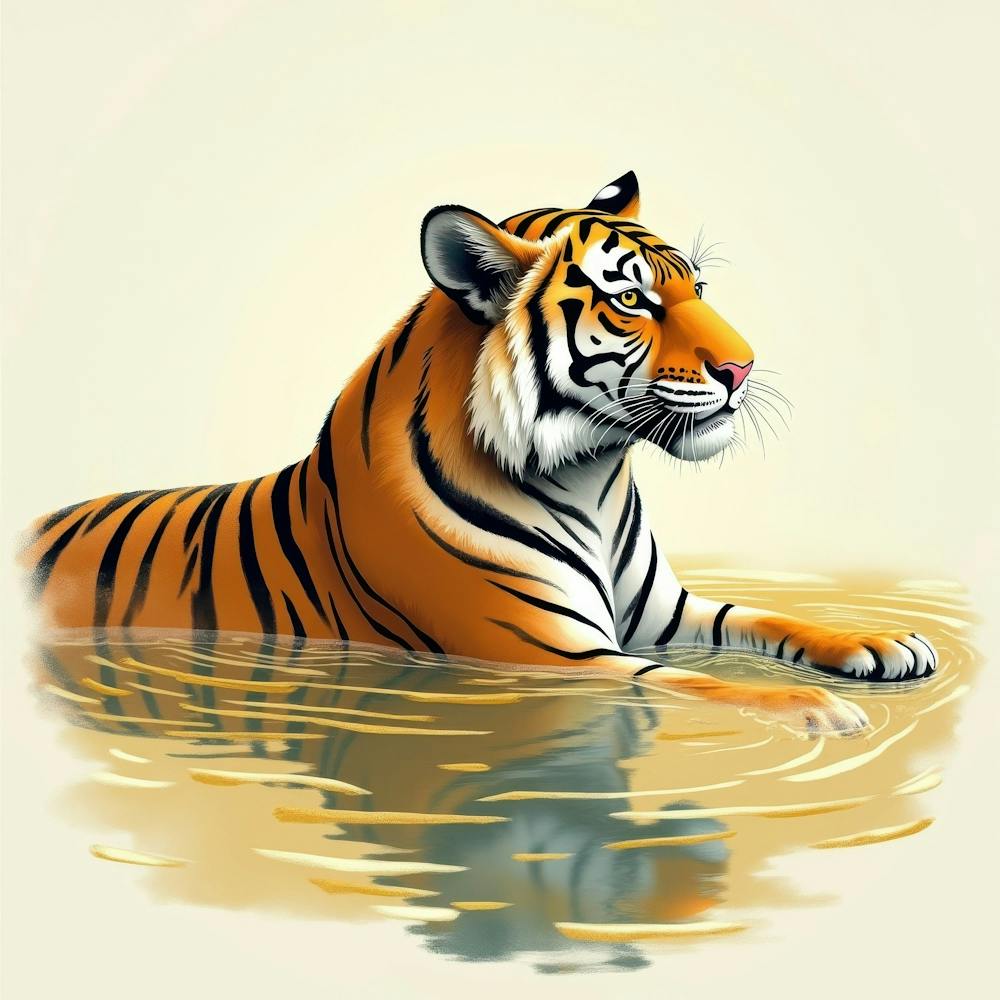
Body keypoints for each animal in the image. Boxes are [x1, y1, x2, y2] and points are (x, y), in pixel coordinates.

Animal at [21, 171, 938, 734]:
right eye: (633, 300)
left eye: (697, 287)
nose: (744, 368)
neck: (595, 475)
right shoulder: (553, 652)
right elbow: (696, 680)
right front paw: (815, 709)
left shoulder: (661, 611)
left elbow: (766, 618)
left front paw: (882, 645)